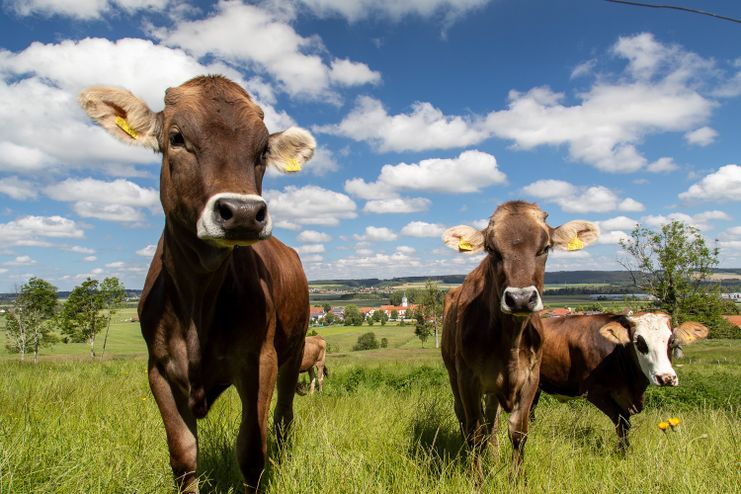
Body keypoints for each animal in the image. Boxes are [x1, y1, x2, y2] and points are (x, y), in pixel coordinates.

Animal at [79, 75, 316, 492]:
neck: (200, 299)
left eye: (262, 150)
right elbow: (184, 455)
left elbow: (251, 450)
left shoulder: (261, 361)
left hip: (295, 348)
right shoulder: (159, 370)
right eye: (176, 137)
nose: (243, 213)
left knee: (284, 416)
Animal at [442, 201, 600, 474]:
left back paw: (494, 458)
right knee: (465, 418)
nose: (520, 299)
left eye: (545, 248)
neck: (510, 342)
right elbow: (475, 432)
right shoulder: (467, 378)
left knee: (491, 421)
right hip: (454, 375)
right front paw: (476, 478)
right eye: (491, 250)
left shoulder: (531, 378)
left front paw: (514, 477)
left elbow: (517, 432)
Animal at [528, 314, 708, 450]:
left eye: (671, 341)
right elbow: (621, 423)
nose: (666, 377)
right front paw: (623, 451)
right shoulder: (595, 393)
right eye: (639, 343)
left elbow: (626, 422)